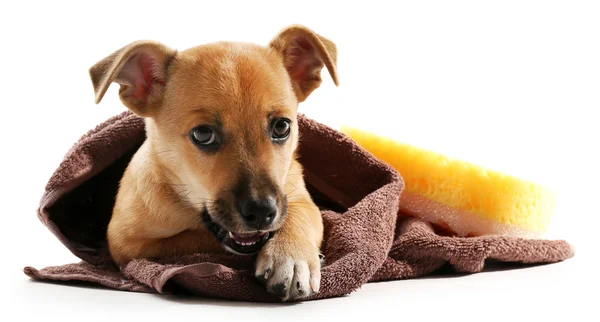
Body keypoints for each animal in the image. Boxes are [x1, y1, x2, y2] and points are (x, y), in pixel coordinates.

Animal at [91, 25, 340, 302]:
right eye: (202, 134)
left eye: (282, 127)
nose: (261, 213)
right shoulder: (128, 244)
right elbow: (194, 239)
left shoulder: (299, 196)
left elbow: (298, 215)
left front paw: (291, 256)